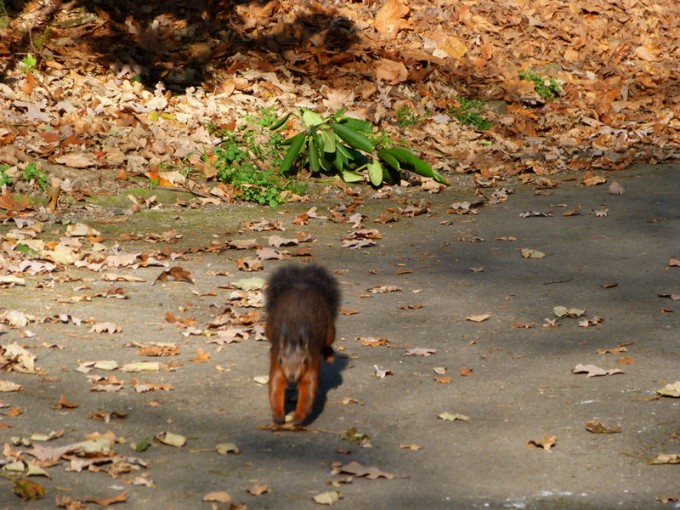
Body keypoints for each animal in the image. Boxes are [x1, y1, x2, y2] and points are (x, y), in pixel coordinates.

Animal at [265, 264, 340, 426]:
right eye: (281, 360)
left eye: (305, 361)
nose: (292, 376)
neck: (294, 337)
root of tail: (302, 283)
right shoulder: (277, 364)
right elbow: (276, 386)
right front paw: (278, 415)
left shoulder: (312, 363)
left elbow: (308, 390)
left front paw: (297, 419)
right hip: (268, 328)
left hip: (330, 329)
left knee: (328, 342)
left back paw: (329, 355)